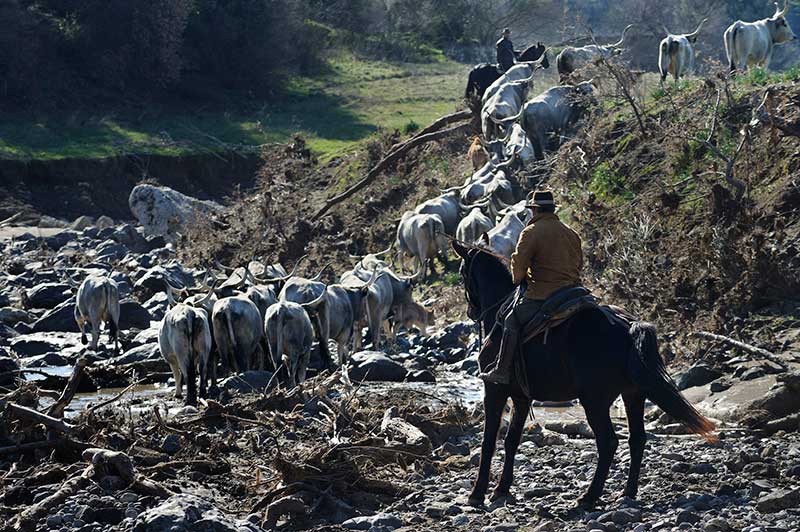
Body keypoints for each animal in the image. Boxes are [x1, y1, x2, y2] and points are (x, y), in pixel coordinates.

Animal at [450, 242, 720, 508]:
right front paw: (502, 489)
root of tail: (628, 328)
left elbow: (489, 441)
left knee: (609, 442)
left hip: (595, 401)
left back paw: (589, 496)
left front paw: (477, 493)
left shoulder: (495, 390)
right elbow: (511, 440)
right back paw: (627, 492)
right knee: (637, 439)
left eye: (462, 272)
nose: (471, 311)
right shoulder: (521, 397)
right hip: (633, 395)